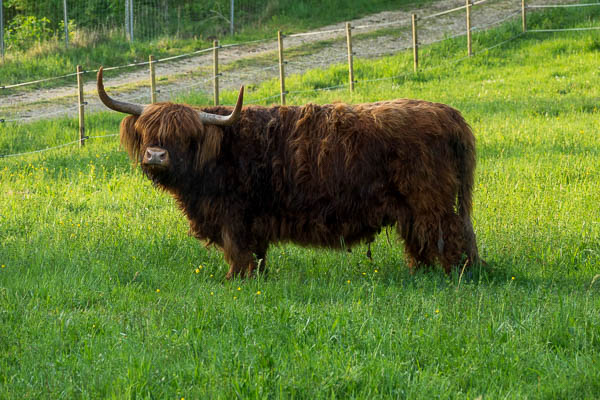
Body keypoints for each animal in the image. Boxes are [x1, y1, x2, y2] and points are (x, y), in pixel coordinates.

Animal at [99, 67, 482, 278]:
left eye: (185, 136)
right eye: (147, 131)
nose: (156, 155)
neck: (220, 153)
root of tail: (450, 114)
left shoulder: (234, 215)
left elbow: (238, 251)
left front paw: (235, 280)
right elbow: (256, 253)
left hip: (430, 200)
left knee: (449, 234)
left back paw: (457, 275)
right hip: (415, 207)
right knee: (423, 238)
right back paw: (422, 272)